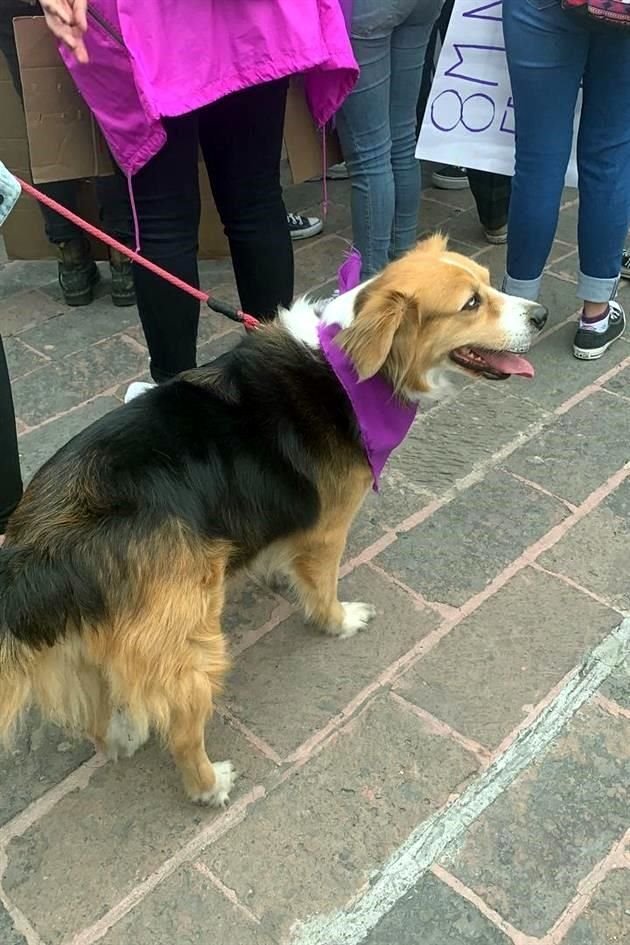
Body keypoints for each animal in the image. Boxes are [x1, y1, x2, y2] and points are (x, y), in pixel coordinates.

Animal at [0, 236, 548, 804]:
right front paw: (337, 621)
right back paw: (209, 784)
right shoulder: (328, 530)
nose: (542, 315)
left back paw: (123, 735)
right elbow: (323, 586)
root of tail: (36, 546)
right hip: (191, 637)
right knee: (180, 728)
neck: (348, 366)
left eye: (486, 283)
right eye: (470, 304)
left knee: (99, 712)